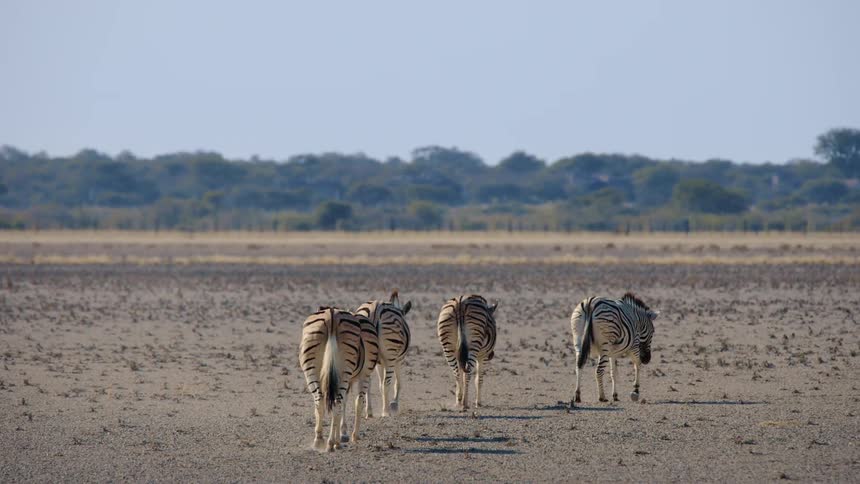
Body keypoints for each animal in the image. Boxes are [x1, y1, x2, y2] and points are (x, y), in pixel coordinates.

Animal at [299, 306, 379, 451]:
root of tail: (332, 315)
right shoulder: (365, 374)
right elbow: (358, 403)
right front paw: (351, 436)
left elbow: (341, 407)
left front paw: (340, 436)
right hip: (345, 372)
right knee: (338, 402)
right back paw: (331, 443)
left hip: (311, 368)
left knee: (320, 401)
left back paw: (319, 440)